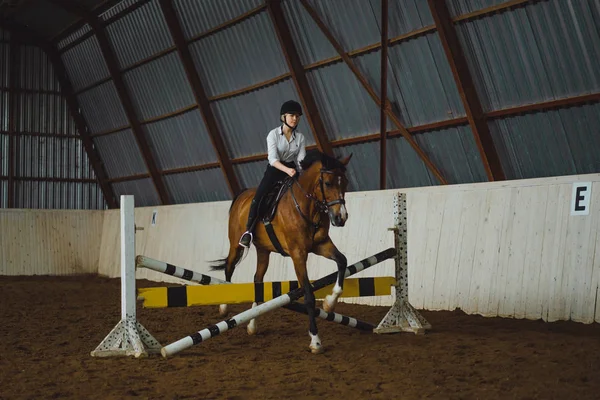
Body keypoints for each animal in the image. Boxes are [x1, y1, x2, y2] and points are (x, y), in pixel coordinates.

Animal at [211, 150, 352, 354]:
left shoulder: (321, 245)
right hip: (236, 245)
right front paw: (315, 341)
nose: (341, 217)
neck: (307, 206)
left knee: (257, 280)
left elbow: (342, 261)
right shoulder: (298, 254)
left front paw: (329, 302)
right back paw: (223, 307)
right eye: (327, 183)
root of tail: (243, 195)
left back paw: (252, 325)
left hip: (263, 251)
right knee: (229, 267)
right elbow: (309, 295)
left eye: (345, 182)